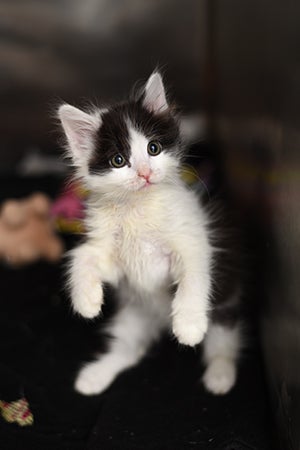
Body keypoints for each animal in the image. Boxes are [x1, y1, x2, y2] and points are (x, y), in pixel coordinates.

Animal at [58, 72, 244, 396]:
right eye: (119, 160)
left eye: (153, 148)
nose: (145, 173)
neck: (138, 207)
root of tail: (158, 322)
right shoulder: (114, 259)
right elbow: (82, 256)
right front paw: (86, 301)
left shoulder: (192, 238)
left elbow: (193, 276)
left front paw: (189, 325)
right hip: (133, 314)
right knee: (129, 350)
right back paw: (94, 377)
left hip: (224, 302)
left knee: (224, 338)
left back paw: (220, 376)